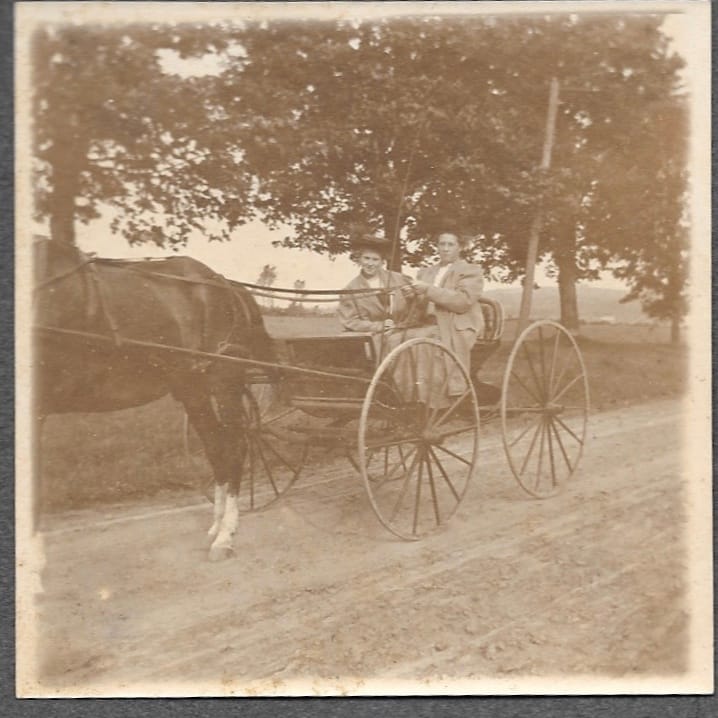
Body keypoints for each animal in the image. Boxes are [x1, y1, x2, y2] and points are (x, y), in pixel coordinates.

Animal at [33, 242, 276, 564]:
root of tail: (225, 283)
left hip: (224, 382)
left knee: (235, 446)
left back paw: (225, 537)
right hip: (193, 389)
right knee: (217, 447)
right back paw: (216, 526)